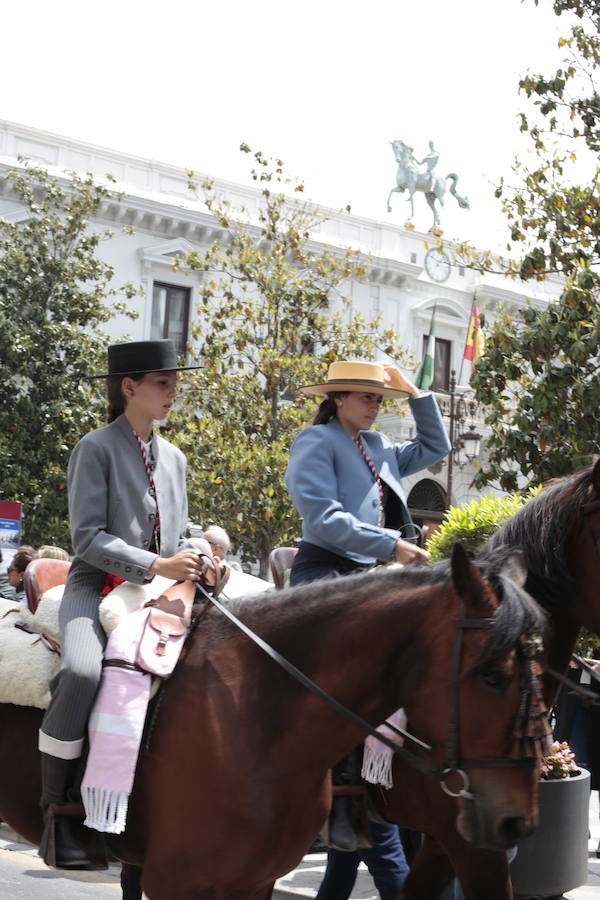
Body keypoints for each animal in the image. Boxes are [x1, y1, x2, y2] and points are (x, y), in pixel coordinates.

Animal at [0, 540, 544, 900]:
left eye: (537, 675)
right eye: (493, 676)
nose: (517, 822)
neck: (255, 713)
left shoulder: (253, 881)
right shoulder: (178, 882)